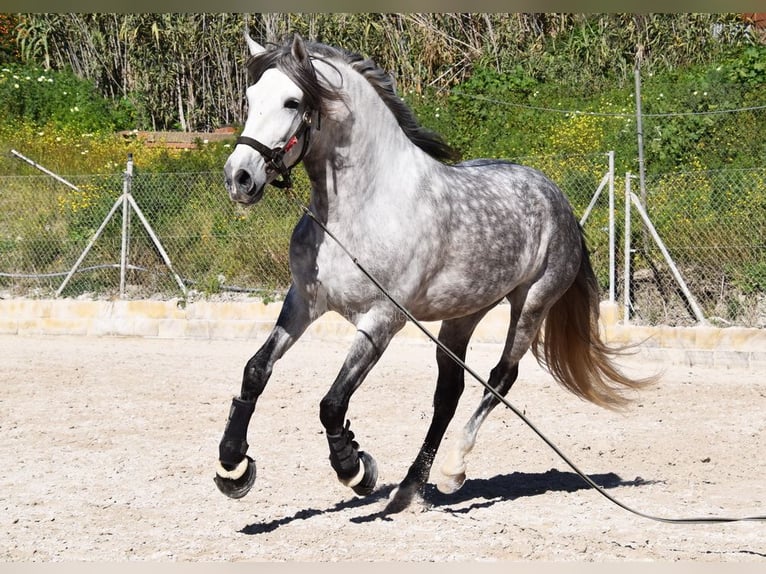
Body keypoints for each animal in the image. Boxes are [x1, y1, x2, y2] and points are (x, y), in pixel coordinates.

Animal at [214, 32, 653, 514]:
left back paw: (451, 471)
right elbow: (256, 370)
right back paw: (409, 489)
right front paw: (233, 465)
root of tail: (555, 196)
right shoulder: (304, 302)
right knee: (449, 393)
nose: (239, 177)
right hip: (462, 315)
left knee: (500, 378)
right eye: (251, 98)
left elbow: (333, 402)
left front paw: (356, 469)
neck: (360, 209)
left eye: (292, 102)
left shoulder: (382, 319)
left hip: (531, 304)